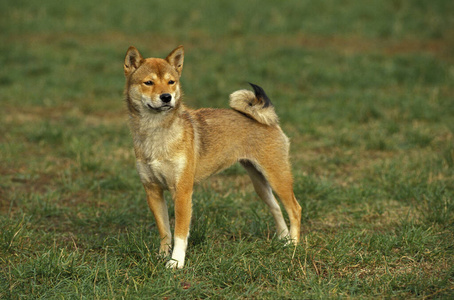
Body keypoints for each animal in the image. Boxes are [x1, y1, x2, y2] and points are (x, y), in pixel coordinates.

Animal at [123, 45, 302, 268]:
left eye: (171, 82)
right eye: (148, 82)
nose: (166, 97)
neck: (156, 132)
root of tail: (269, 118)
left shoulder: (182, 192)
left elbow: (179, 233)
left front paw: (176, 262)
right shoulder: (153, 191)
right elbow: (165, 231)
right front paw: (162, 256)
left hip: (278, 177)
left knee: (295, 209)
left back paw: (293, 246)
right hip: (260, 184)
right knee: (277, 208)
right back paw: (284, 241)